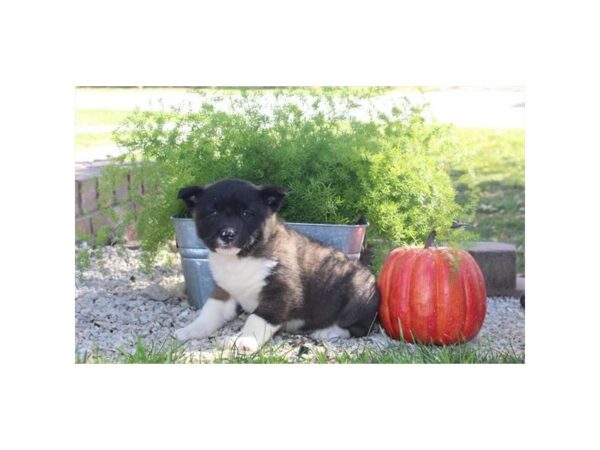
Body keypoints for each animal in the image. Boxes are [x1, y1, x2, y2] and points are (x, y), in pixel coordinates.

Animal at [175, 179, 380, 352]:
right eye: (214, 212)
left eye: (246, 213)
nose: (227, 234)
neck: (242, 258)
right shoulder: (224, 290)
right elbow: (210, 311)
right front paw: (191, 329)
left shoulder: (280, 292)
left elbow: (257, 319)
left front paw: (245, 340)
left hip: (357, 299)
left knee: (360, 329)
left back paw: (328, 331)